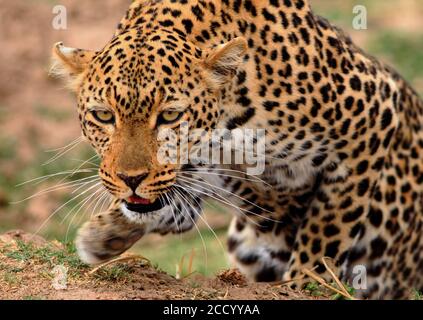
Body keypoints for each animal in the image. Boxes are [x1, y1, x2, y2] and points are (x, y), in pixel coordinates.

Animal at [51, 0, 423, 300]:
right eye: (103, 115)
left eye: (170, 116)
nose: (131, 179)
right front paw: (104, 235)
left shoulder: (372, 117)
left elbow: (327, 231)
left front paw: (304, 284)